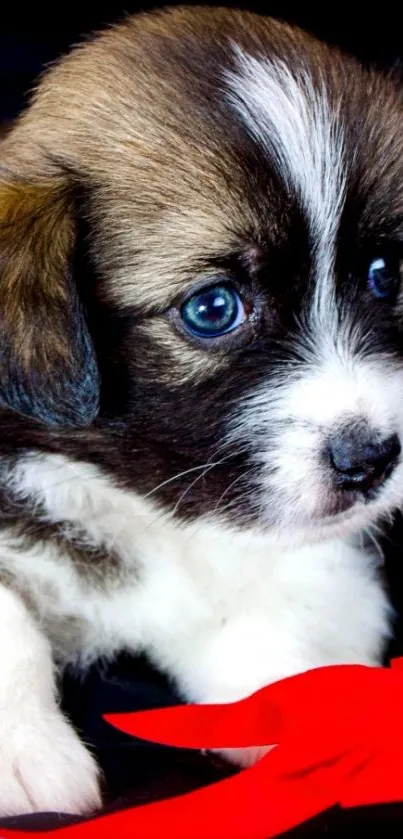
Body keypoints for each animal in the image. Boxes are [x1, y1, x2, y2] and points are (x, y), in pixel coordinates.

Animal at [0, 4, 403, 820]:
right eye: (212, 308)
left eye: (385, 273)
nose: (373, 459)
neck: (151, 505)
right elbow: (7, 621)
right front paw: (26, 753)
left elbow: (281, 611)